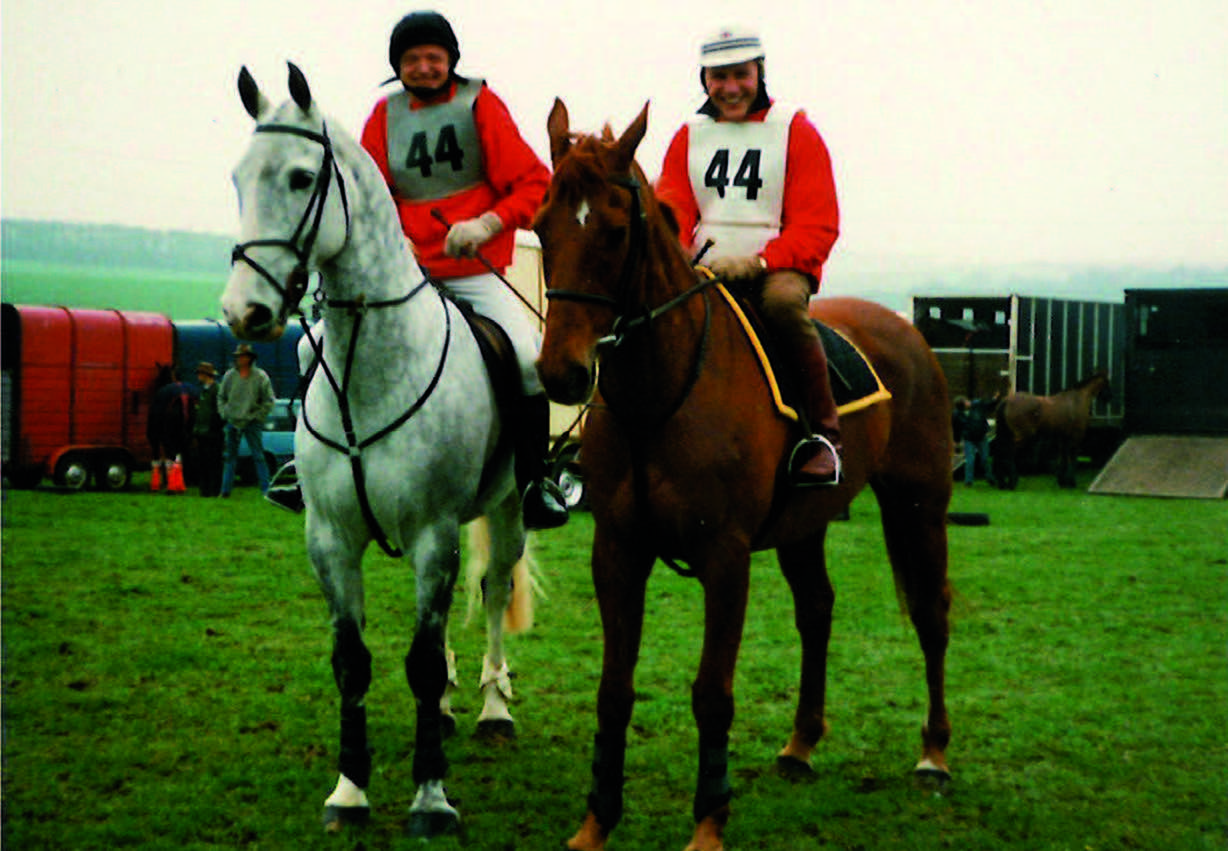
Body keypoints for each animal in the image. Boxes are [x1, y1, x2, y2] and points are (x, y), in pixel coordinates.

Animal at [222, 64, 537, 835]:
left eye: (302, 177)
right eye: (239, 178)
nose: (243, 312)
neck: (373, 367)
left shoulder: (432, 535)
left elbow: (419, 661)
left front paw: (430, 798)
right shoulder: (330, 539)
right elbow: (352, 660)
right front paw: (349, 792)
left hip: (508, 511)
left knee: (491, 592)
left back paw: (491, 708)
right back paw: (452, 708)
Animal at [537, 101, 957, 851]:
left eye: (615, 231)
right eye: (539, 225)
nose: (562, 373)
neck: (660, 393)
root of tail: (907, 331)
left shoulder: (724, 556)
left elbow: (712, 693)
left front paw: (709, 822)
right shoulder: (616, 551)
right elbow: (613, 689)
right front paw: (596, 821)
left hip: (919, 507)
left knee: (932, 615)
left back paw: (932, 754)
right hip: (805, 526)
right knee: (817, 610)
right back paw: (800, 745)